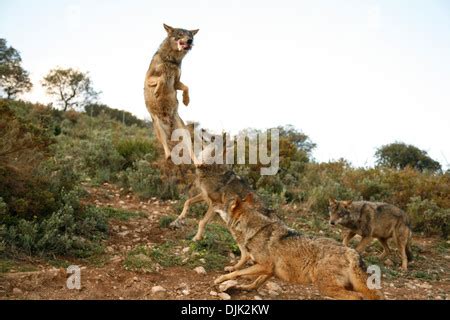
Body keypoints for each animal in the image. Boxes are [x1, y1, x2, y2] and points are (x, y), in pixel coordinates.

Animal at [145, 23, 200, 160]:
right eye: (180, 34)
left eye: (190, 35)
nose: (190, 40)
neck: (171, 60)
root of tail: (169, 125)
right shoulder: (149, 78)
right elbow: (162, 78)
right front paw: (157, 92)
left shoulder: (176, 82)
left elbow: (186, 87)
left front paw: (186, 100)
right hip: (158, 128)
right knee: (166, 147)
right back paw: (168, 156)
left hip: (184, 132)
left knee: (190, 151)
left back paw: (198, 162)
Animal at [215, 195, 384, 300]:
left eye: (223, 204)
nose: (214, 204)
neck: (255, 229)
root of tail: (351, 251)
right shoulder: (270, 270)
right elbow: (257, 281)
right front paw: (247, 287)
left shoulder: (264, 265)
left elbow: (237, 272)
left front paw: (220, 280)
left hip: (325, 287)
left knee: (358, 297)